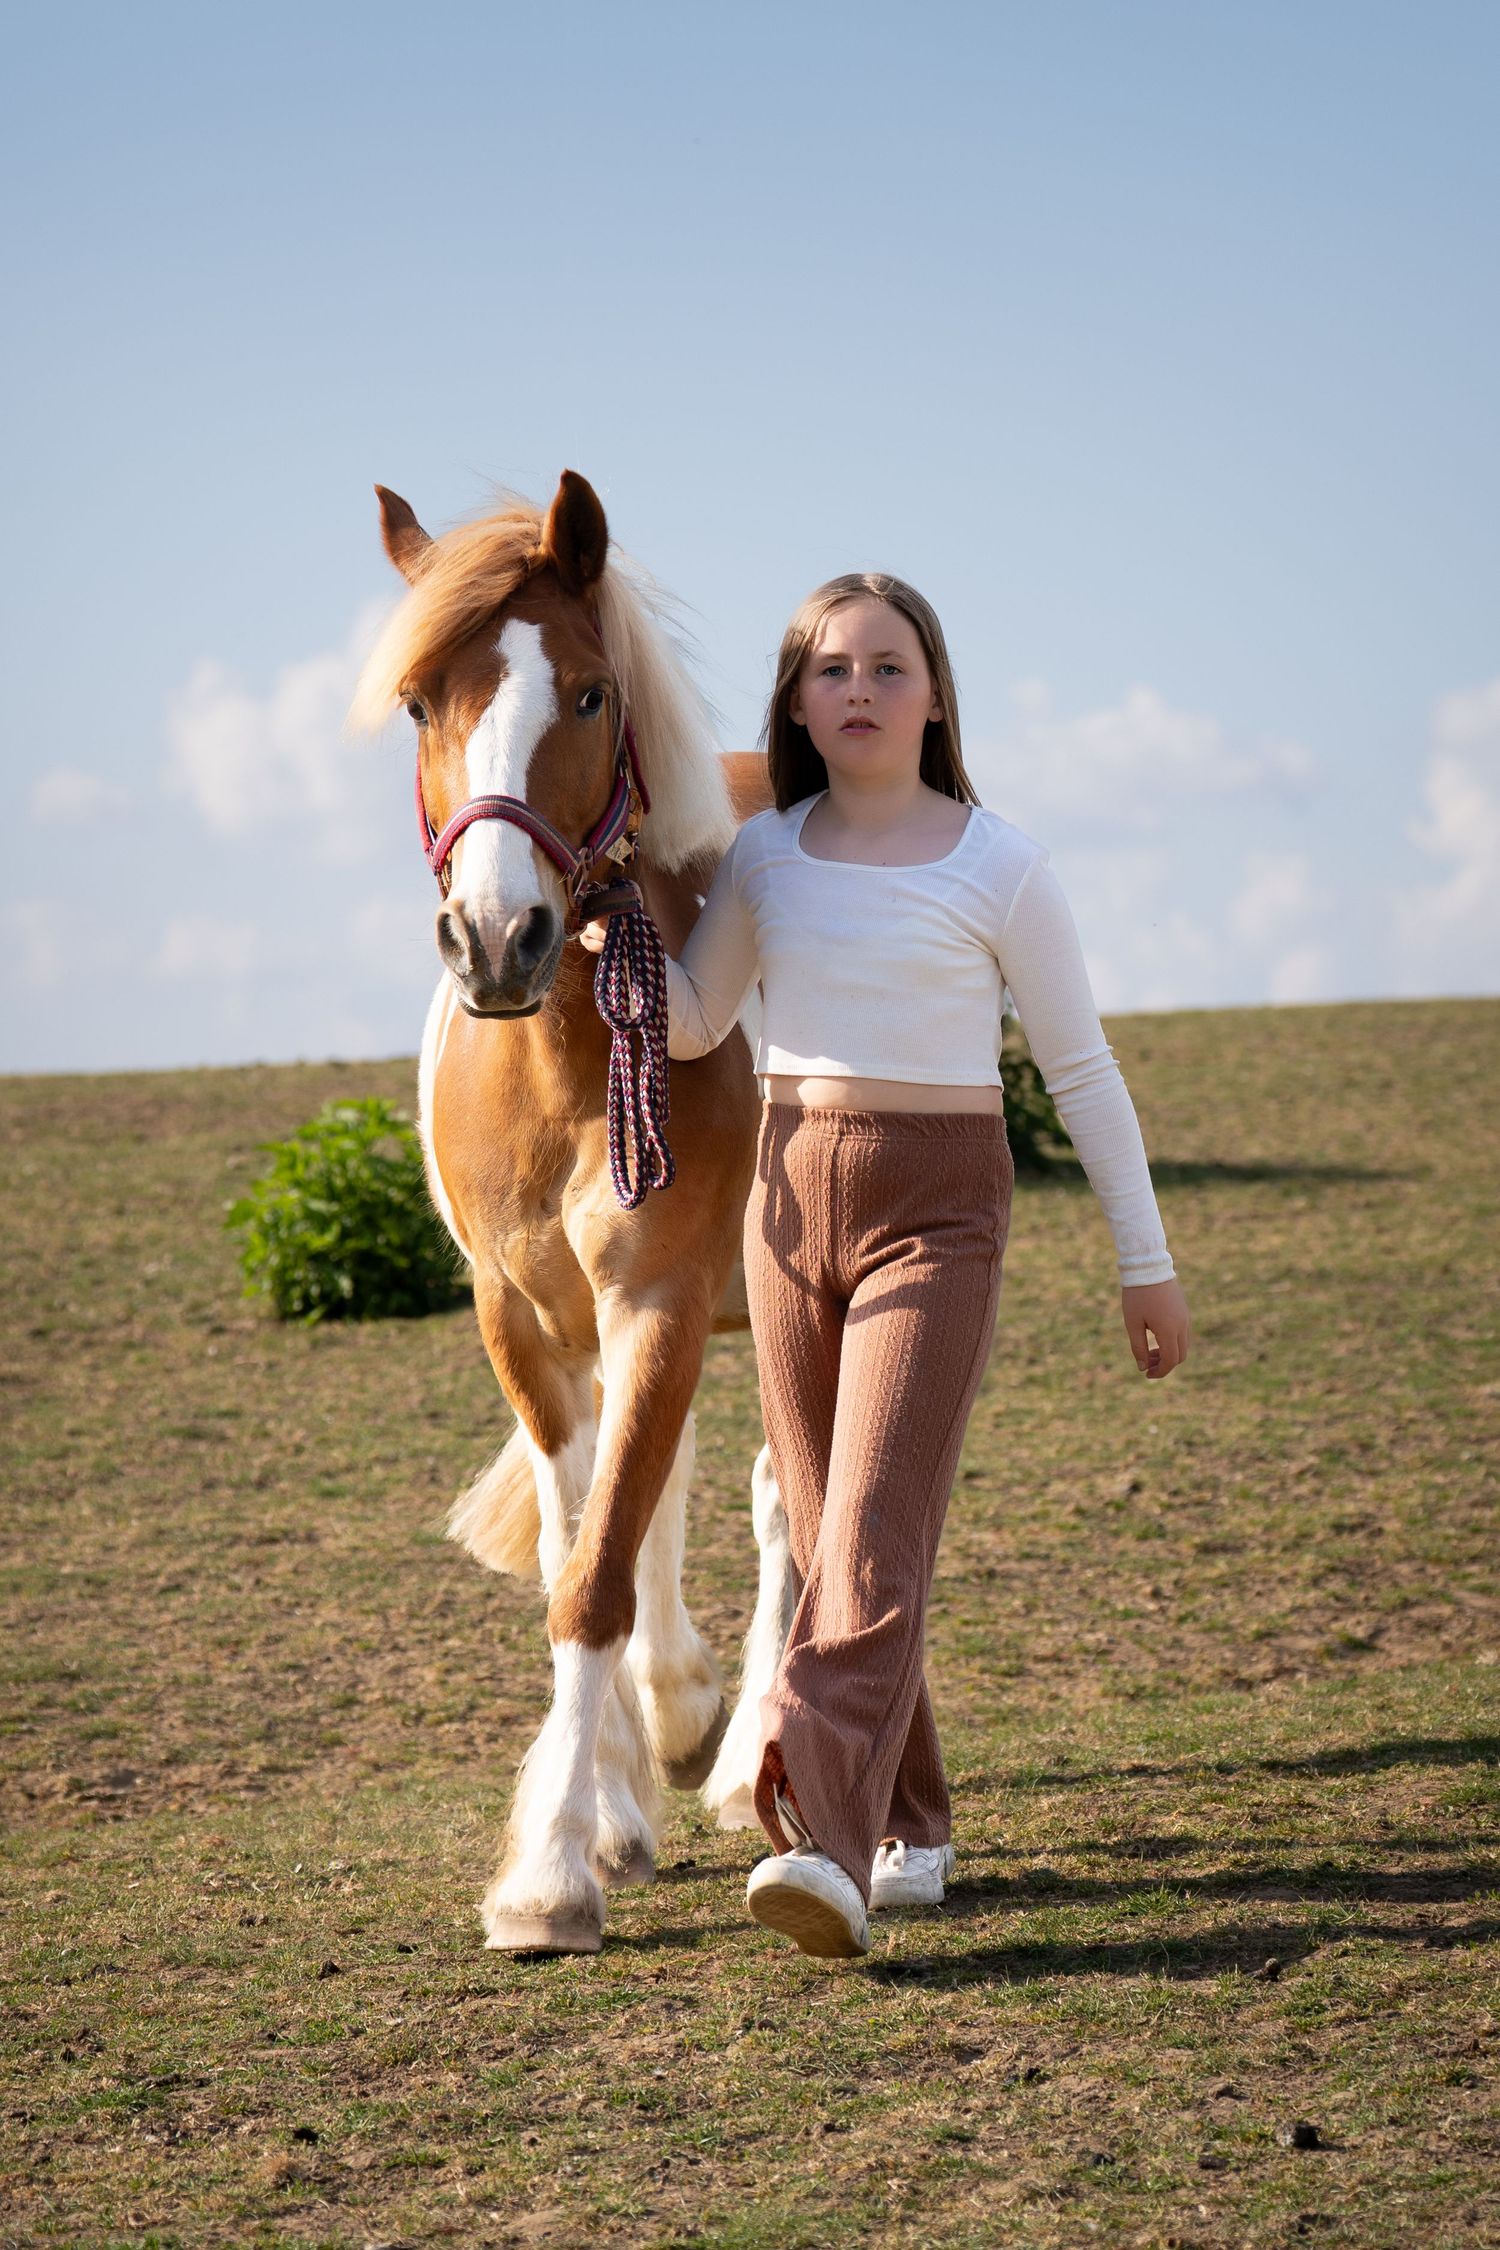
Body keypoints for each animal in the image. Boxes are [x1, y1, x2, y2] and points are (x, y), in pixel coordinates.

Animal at [350, 469, 796, 1953]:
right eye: (420, 703)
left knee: (789, 1500)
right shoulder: (529, 1324)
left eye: (592, 693)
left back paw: (741, 1745)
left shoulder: (659, 1301)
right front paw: (598, 1808)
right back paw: (671, 1719)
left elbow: (595, 1570)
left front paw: (547, 1871)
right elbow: (577, 1541)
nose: (499, 939)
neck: (558, 1065)